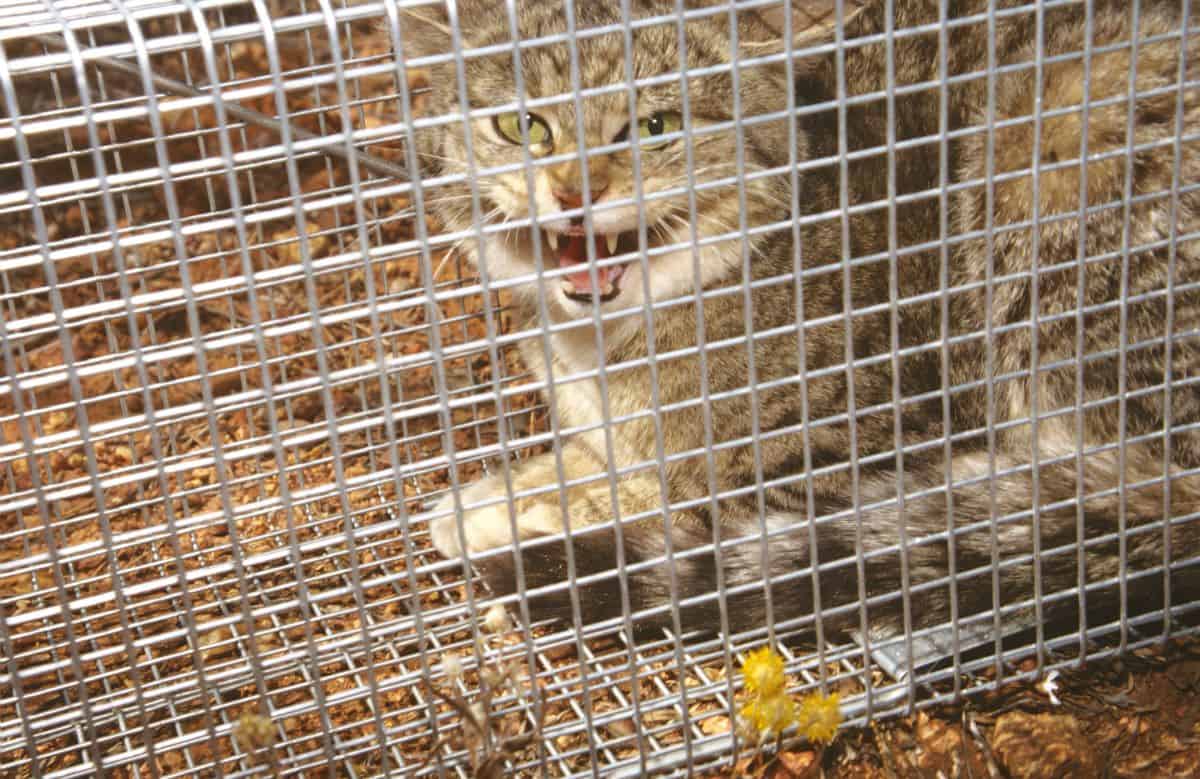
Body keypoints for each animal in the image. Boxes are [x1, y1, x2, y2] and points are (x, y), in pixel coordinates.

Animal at [403, 0, 1200, 638]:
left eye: (654, 126)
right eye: (522, 126)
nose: (574, 192)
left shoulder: (877, 442)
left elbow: (684, 498)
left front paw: (524, 510)